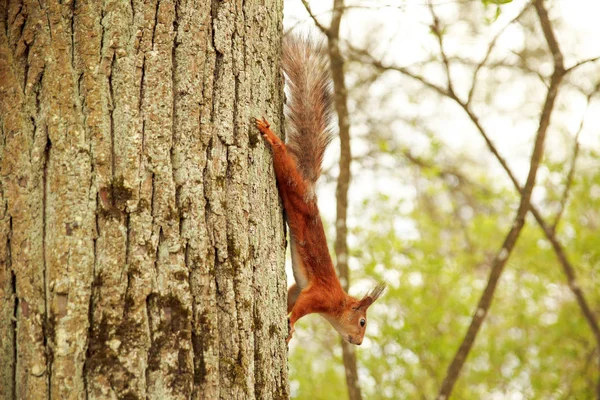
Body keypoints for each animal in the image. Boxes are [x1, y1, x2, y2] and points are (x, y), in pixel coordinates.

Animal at [253, 36, 384, 346]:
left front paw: (288, 326)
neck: (338, 301)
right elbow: (300, 309)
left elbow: (291, 296)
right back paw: (271, 136)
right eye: (362, 322)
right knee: (283, 159)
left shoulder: (299, 289)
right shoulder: (318, 295)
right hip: (293, 184)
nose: (359, 342)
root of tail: (311, 190)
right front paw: (290, 323)